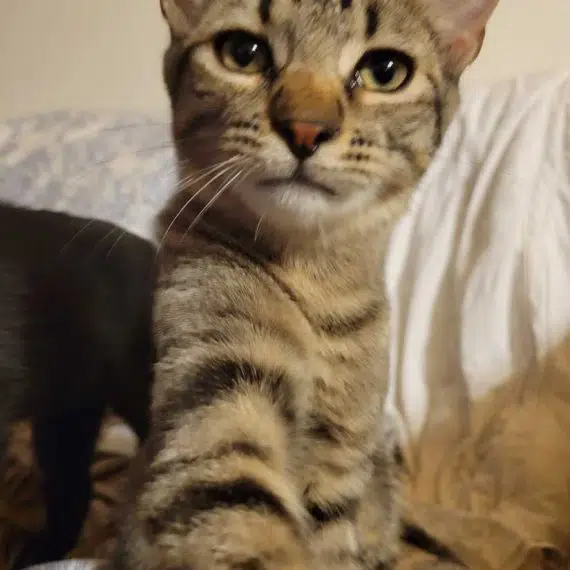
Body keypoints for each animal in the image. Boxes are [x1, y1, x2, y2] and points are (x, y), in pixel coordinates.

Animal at [110, 1, 498, 569]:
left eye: (386, 71)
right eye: (242, 52)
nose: (306, 129)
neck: (315, 284)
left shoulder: (342, 455)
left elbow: (334, 539)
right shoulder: (217, 396)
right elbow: (238, 516)